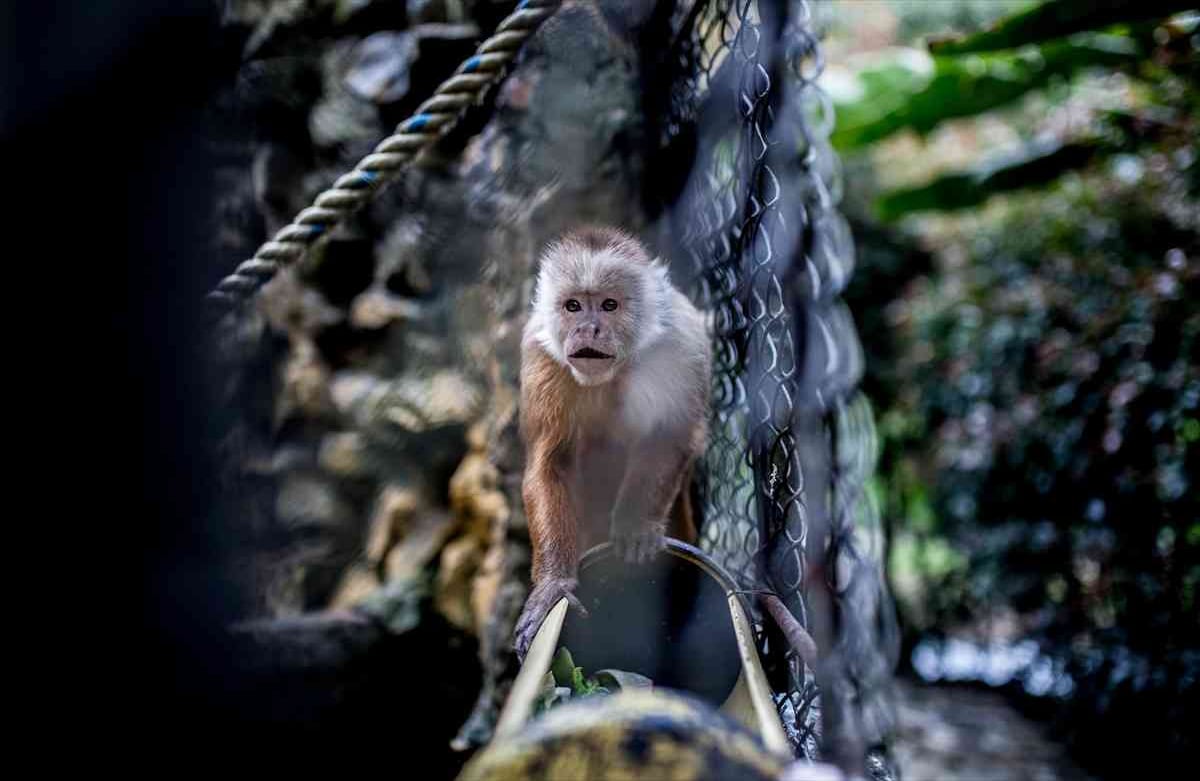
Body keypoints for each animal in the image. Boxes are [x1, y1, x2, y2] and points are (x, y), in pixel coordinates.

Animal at [513, 225, 711, 659]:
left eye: (608, 305)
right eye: (573, 306)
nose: (589, 328)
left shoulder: (683, 344)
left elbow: (671, 436)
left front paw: (634, 526)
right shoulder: (540, 355)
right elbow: (549, 464)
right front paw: (553, 585)